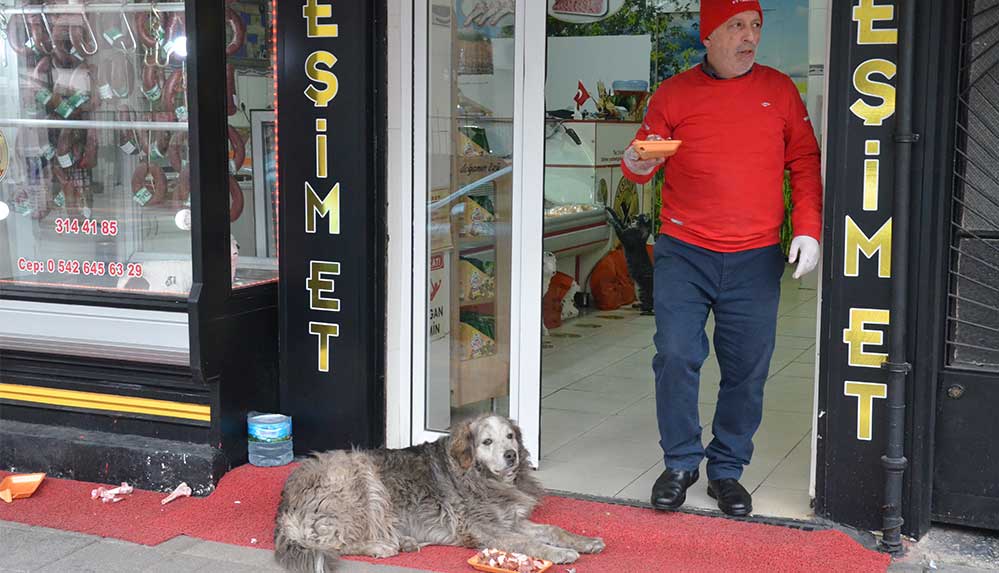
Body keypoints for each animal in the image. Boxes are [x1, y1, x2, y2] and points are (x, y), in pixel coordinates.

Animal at [272, 414, 600, 568]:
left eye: (510, 436)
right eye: (487, 442)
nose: (512, 455)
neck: (481, 476)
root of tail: (287, 498)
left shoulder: (511, 521)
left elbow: (554, 529)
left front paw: (584, 541)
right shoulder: (487, 529)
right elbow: (527, 543)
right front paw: (558, 554)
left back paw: (403, 541)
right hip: (364, 480)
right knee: (330, 542)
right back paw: (381, 546)